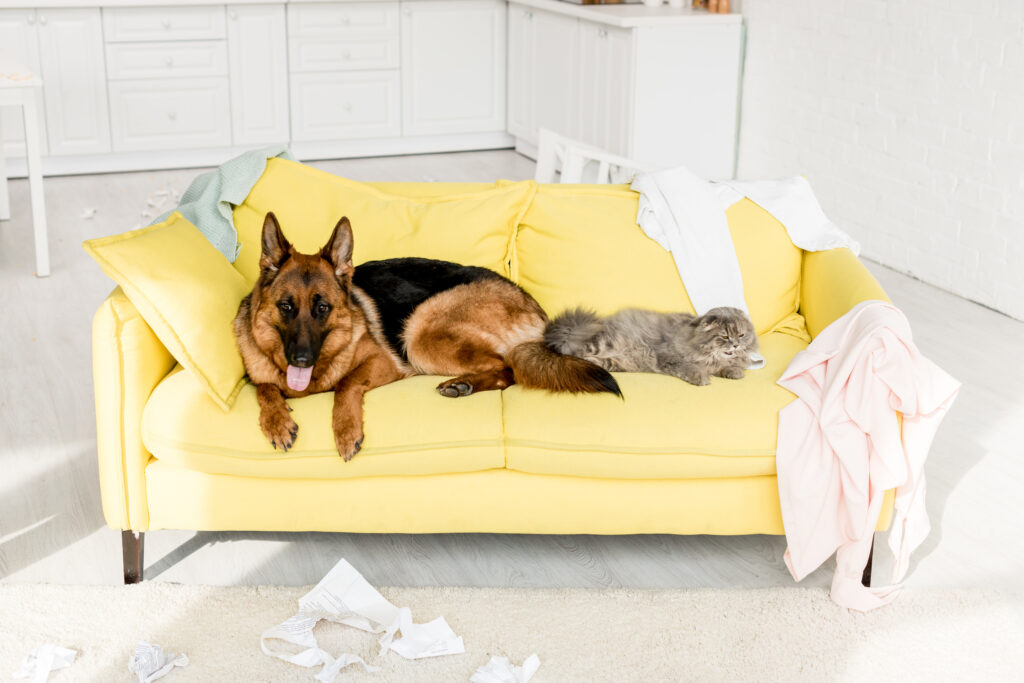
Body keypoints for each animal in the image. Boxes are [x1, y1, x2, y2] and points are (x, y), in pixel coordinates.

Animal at [234, 211, 614, 458]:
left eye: (323, 308)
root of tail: (533, 305)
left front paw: (345, 431)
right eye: (286, 306)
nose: (301, 359)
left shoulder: (382, 363)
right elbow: (264, 387)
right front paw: (277, 422)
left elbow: (346, 385)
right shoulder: (262, 376)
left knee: (508, 369)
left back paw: (462, 383)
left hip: (419, 335)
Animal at [548, 307, 757, 387]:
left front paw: (735, 372)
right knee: (569, 353)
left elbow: (726, 366)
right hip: (599, 343)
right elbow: (690, 368)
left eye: (741, 335)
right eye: (724, 336)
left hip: (616, 363)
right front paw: (701, 378)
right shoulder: (668, 356)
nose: (736, 345)